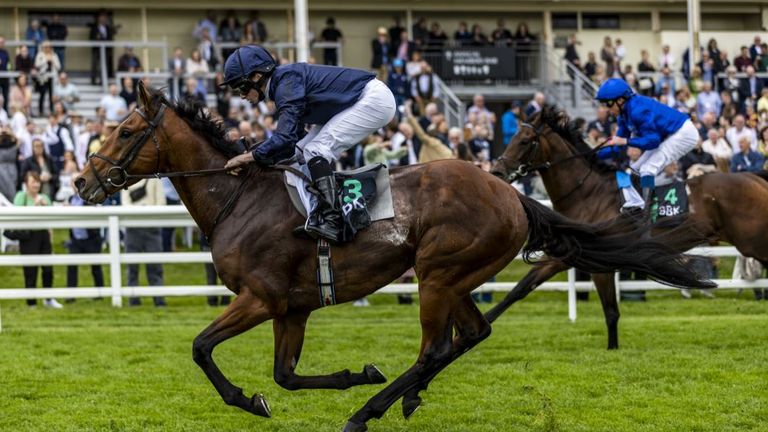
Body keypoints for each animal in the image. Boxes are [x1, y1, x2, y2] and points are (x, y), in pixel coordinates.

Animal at [75, 84, 712, 432]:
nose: (82, 181)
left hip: (438, 274)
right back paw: (400, 396)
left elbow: (202, 348)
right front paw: (355, 373)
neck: (239, 198)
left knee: (435, 347)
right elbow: (286, 375)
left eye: (126, 130)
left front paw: (248, 401)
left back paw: (368, 412)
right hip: (455, 279)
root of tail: (510, 193)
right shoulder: (293, 307)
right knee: (469, 335)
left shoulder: (261, 297)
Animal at [488, 104, 768, 352]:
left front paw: (612, 349)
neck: (587, 194)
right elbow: (520, 289)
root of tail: (755, 178)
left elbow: (611, 311)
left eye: (525, 141)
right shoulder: (565, 255)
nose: (497, 172)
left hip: (754, 243)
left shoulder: (601, 264)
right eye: (512, 137)